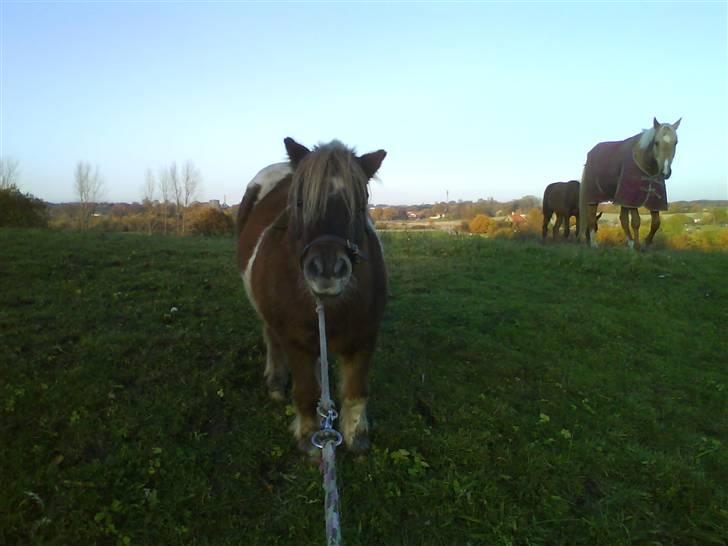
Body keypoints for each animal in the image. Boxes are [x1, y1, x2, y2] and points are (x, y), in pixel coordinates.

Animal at [237, 136, 386, 450]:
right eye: (300, 202)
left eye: (360, 205)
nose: (327, 269)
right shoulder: (294, 340)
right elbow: (305, 391)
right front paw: (309, 437)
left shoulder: (366, 335)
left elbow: (356, 390)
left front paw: (356, 436)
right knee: (271, 337)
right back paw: (276, 381)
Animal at [576, 118, 680, 250]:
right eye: (656, 143)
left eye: (675, 142)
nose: (665, 172)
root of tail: (590, 154)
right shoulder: (631, 199)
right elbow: (636, 221)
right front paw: (638, 246)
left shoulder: (652, 201)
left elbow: (656, 222)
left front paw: (644, 244)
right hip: (594, 197)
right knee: (591, 218)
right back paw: (594, 244)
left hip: (621, 198)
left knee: (623, 219)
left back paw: (630, 243)